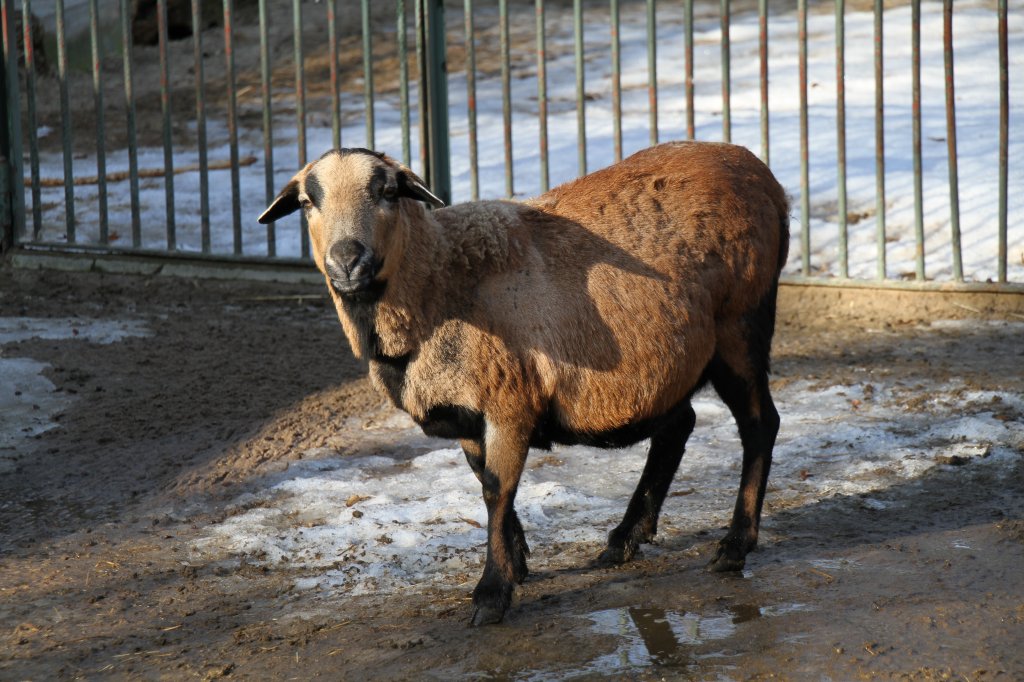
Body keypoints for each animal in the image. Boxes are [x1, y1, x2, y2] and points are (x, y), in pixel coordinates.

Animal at [258, 140, 790, 622]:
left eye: (388, 191)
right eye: (307, 201)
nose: (347, 261)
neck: (439, 279)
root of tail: (760, 171)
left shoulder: (510, 400)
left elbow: (498, 490)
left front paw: (492, 593)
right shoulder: (467, 413)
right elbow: (485, 483)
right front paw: (514, 565)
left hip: (740, 325)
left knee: (759, 425)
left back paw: (734, 545)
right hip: (668, 359)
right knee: (678, 427)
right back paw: (625, 539)